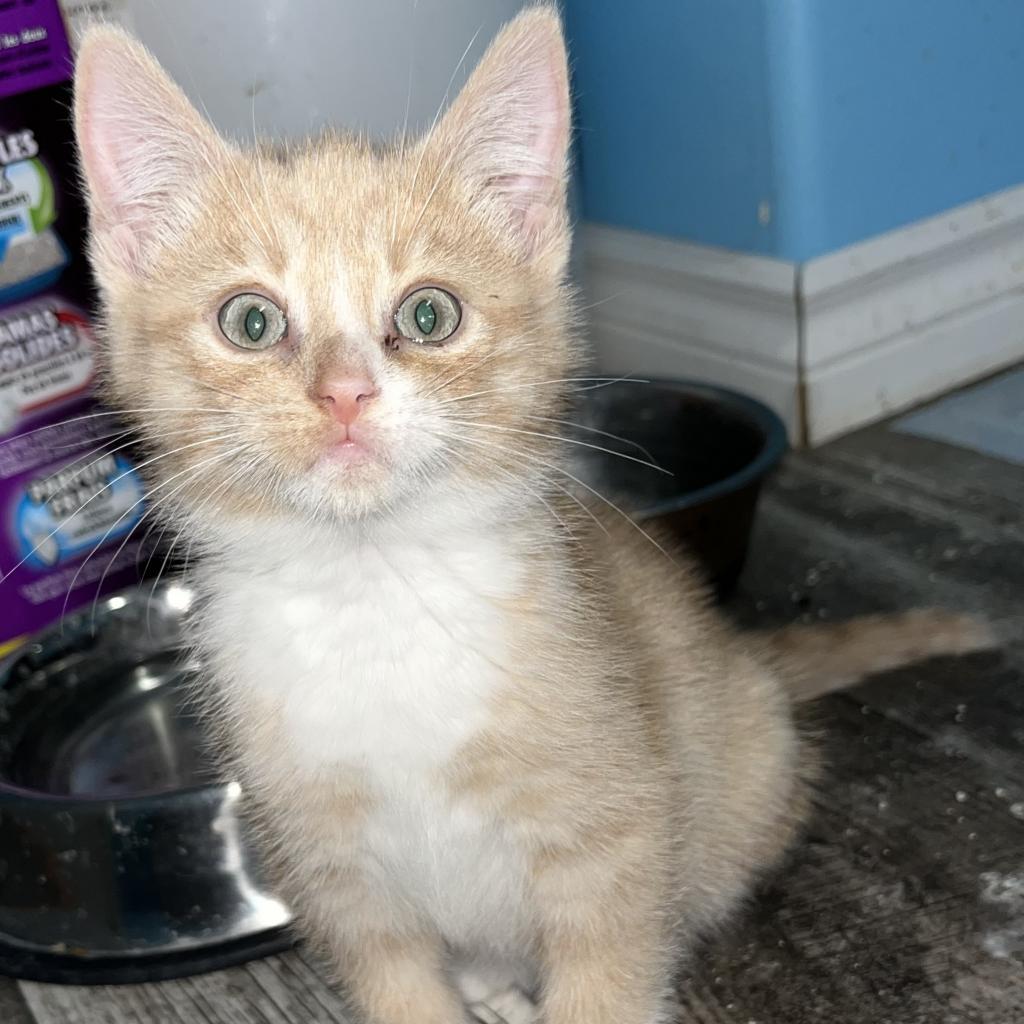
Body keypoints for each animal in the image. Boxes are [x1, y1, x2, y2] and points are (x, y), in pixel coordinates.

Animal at [72, 9, 991, 1024]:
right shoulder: (334, 876)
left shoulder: (615, 832)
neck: (374, 589)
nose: (345, 394)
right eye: (250, 323)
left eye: (429, 315)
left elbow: (609, 977)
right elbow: (402, 991)